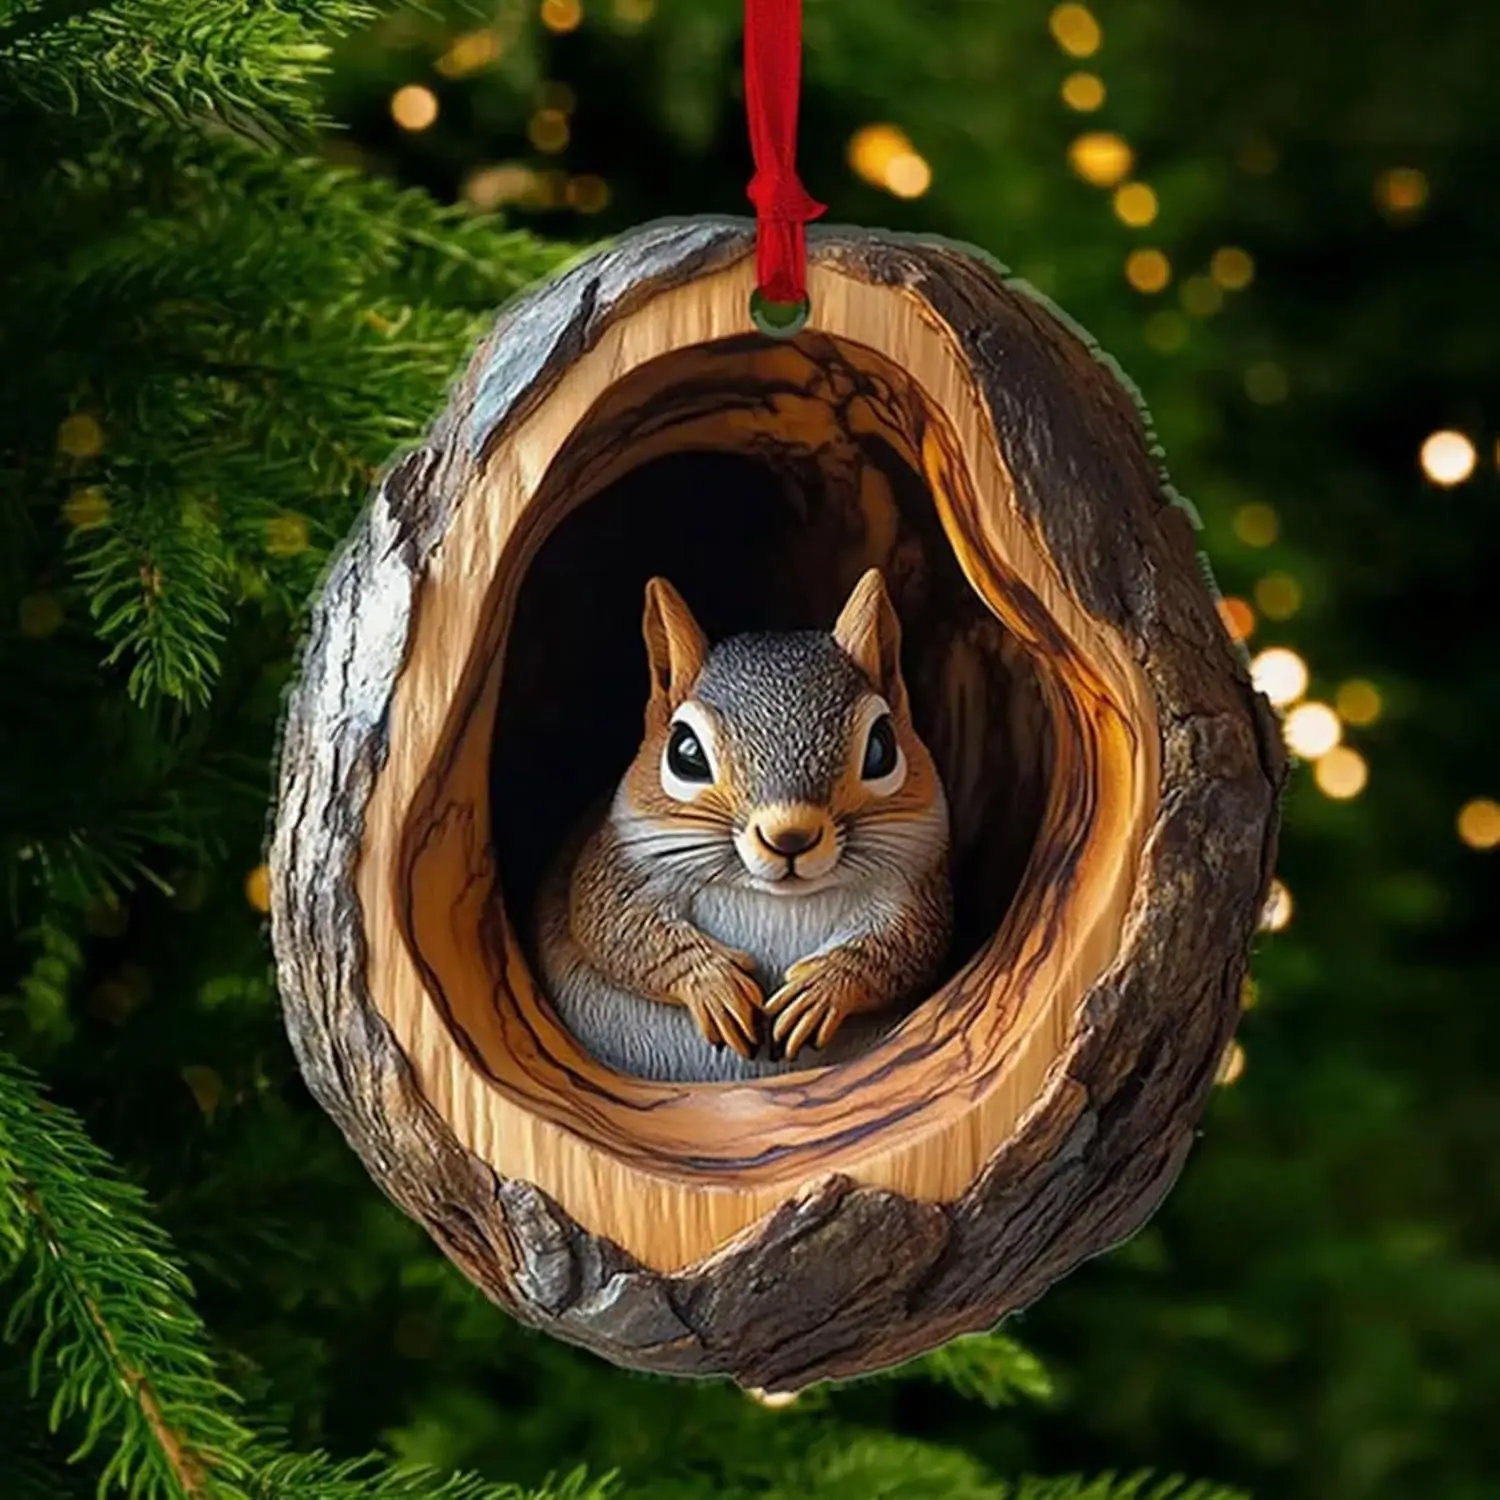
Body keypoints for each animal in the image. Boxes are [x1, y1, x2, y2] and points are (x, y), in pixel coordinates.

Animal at [534, 564, 954, 1080]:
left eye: (881, 749)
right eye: (685, 753)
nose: (790, 836)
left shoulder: (912, 887)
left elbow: (909, 944)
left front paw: (821, 989)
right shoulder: (618, 864)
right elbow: (614, 926)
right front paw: (713, 984)